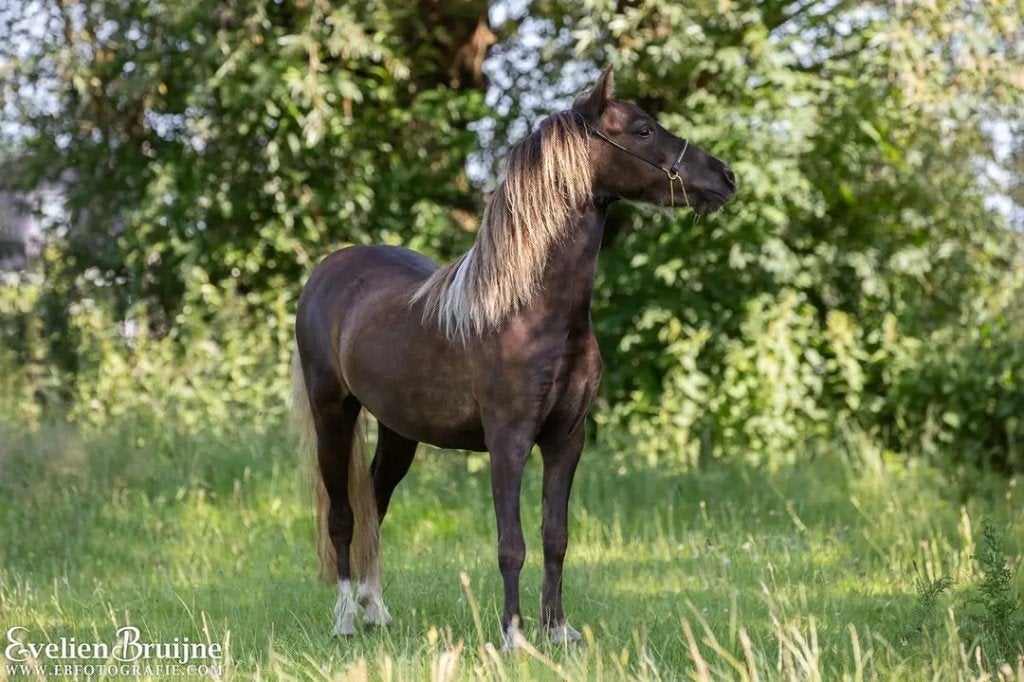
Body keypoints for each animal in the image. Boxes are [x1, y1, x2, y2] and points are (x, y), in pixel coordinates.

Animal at [290, 66, 736, 649]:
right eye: (642, 130)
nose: (725, 176)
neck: (530, 310)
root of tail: (329, 269)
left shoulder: (567, 439)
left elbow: (555, 536)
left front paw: (559, 630)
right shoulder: (508, 442)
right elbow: (511, 544)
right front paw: (514, 636)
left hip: (399, 431)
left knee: (375, 506)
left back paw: (376, 611)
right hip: (333, 415)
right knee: (343, 514)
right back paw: (345, 618)